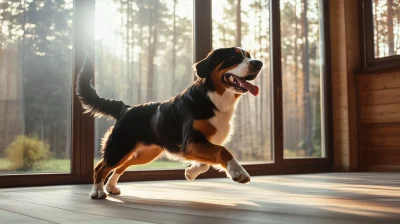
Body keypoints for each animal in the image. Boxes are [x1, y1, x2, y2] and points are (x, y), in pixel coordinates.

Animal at [76, 46, 262, 199]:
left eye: (248, 56)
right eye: (233, 57)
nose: (259, 63)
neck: (214, 99)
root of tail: (125, 108)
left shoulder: (197, 145)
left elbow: (207, 162)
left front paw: (191, 172)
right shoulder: (191, 141)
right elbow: (222, 151)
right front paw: (238, 172)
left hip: (145, 153)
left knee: (120, 166)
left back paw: (110, 186)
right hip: (120, 147)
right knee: (101, 167)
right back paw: (97, 191)